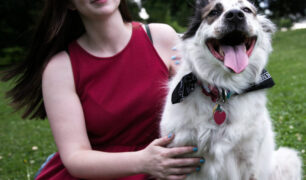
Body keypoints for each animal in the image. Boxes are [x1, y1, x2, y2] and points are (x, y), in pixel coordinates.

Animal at [160, 0, 302, 179]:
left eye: (247, 9)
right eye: (214, 12)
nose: (235, 15)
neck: (224, 90)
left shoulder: (249, 161)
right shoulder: (181, 156)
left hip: (288, 159)